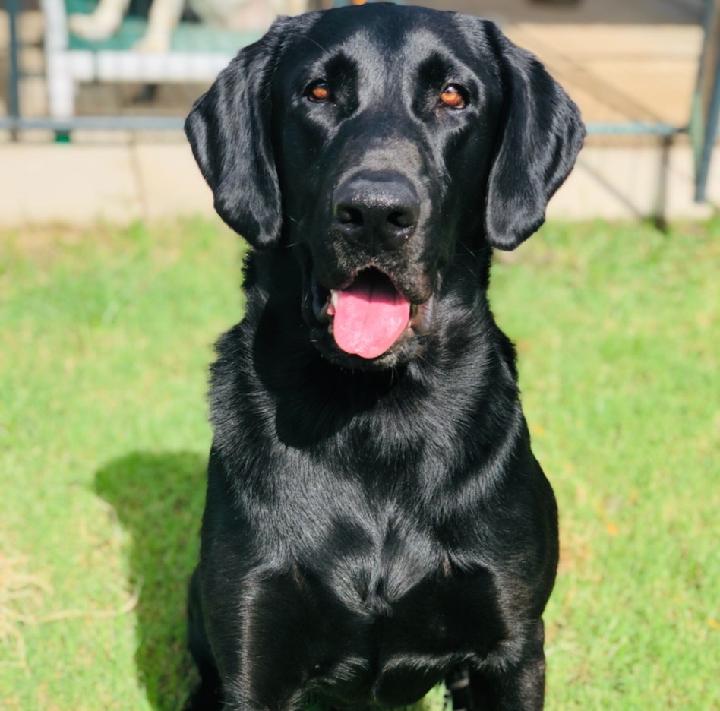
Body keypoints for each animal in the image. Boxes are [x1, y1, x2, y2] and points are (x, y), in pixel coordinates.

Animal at [184, 4, 584, 708]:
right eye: (318, 92)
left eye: (453, 95)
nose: (374, 212)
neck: (377, 415)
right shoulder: (253, 655)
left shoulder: (512, 646)